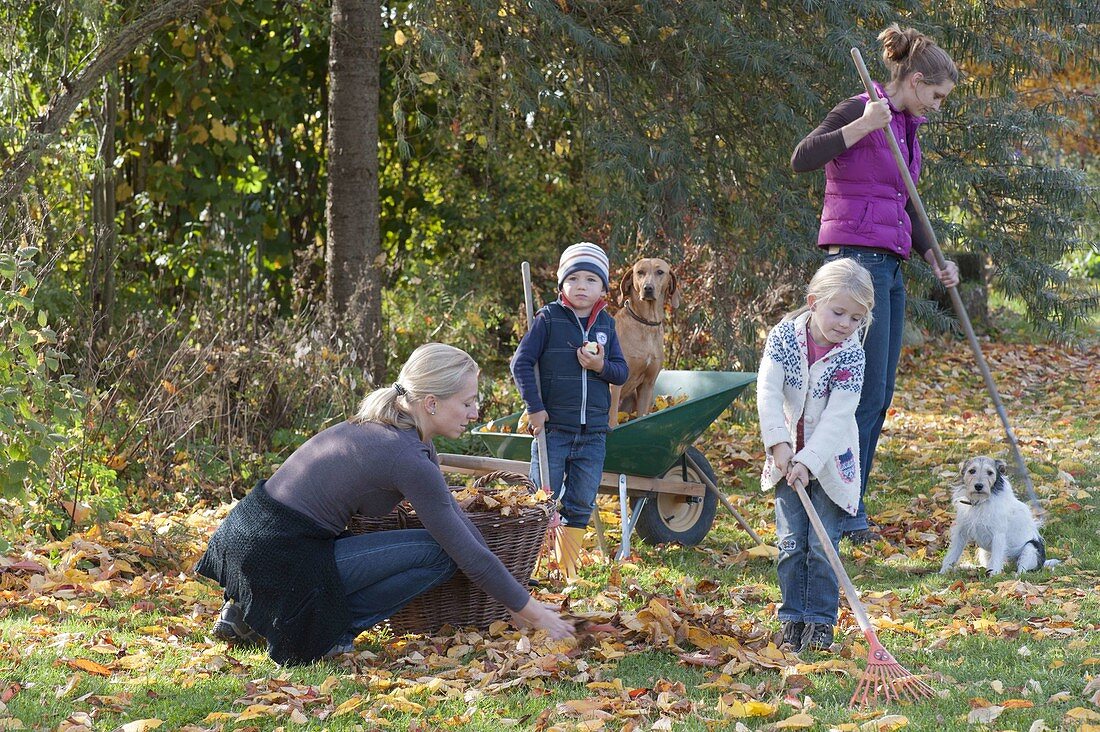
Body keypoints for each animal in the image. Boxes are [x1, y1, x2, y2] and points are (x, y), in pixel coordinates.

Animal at [611, 258, 677, 424]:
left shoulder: (647, 385)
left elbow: (642, 417)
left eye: (660, 272)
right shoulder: (614, 385)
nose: (648, 288)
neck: (646, 323)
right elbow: (611, 420)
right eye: (640, 272)